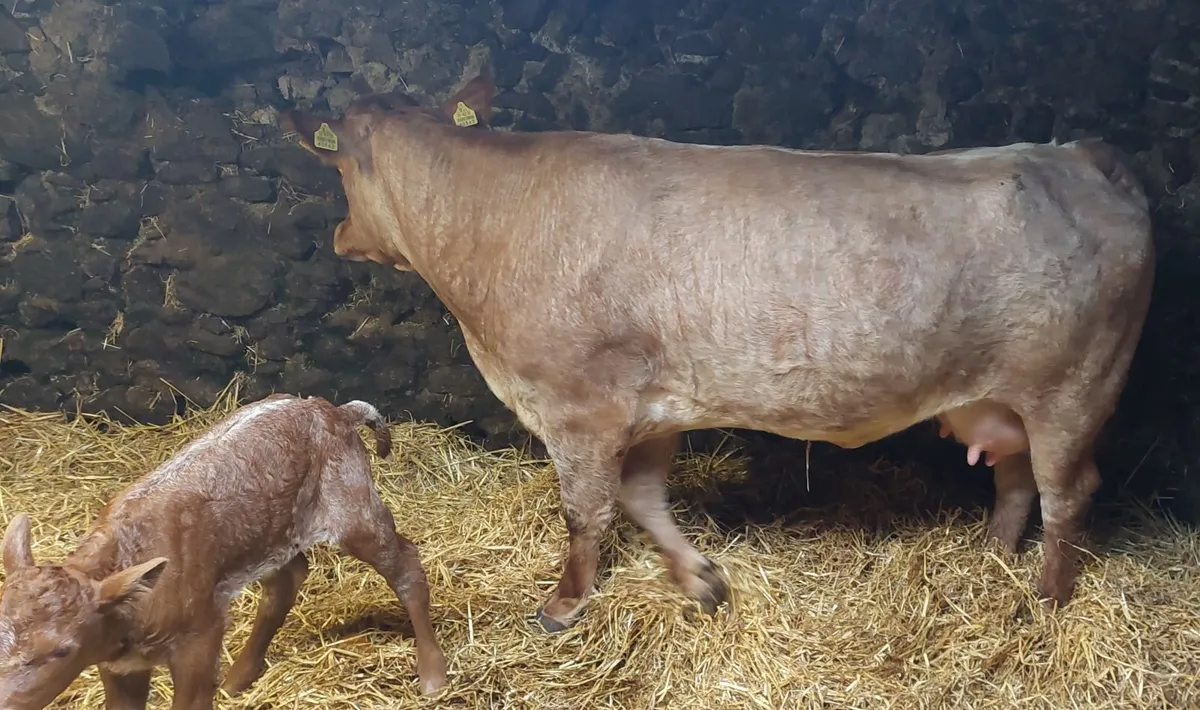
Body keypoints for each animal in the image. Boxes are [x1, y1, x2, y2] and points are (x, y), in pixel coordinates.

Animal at [281, 69, 1155, 633]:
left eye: (338, 167)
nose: (340, 234)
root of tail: (1080, 155)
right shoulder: (653, 405)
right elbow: (642, 499)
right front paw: (699, 579)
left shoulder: (577, 405)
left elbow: (586, 511)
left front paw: (563, 604)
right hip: (999, 397)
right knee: (1014, 482)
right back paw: (990, 559)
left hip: (1073, 388)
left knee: (1067, 491)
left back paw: (1044, 602)